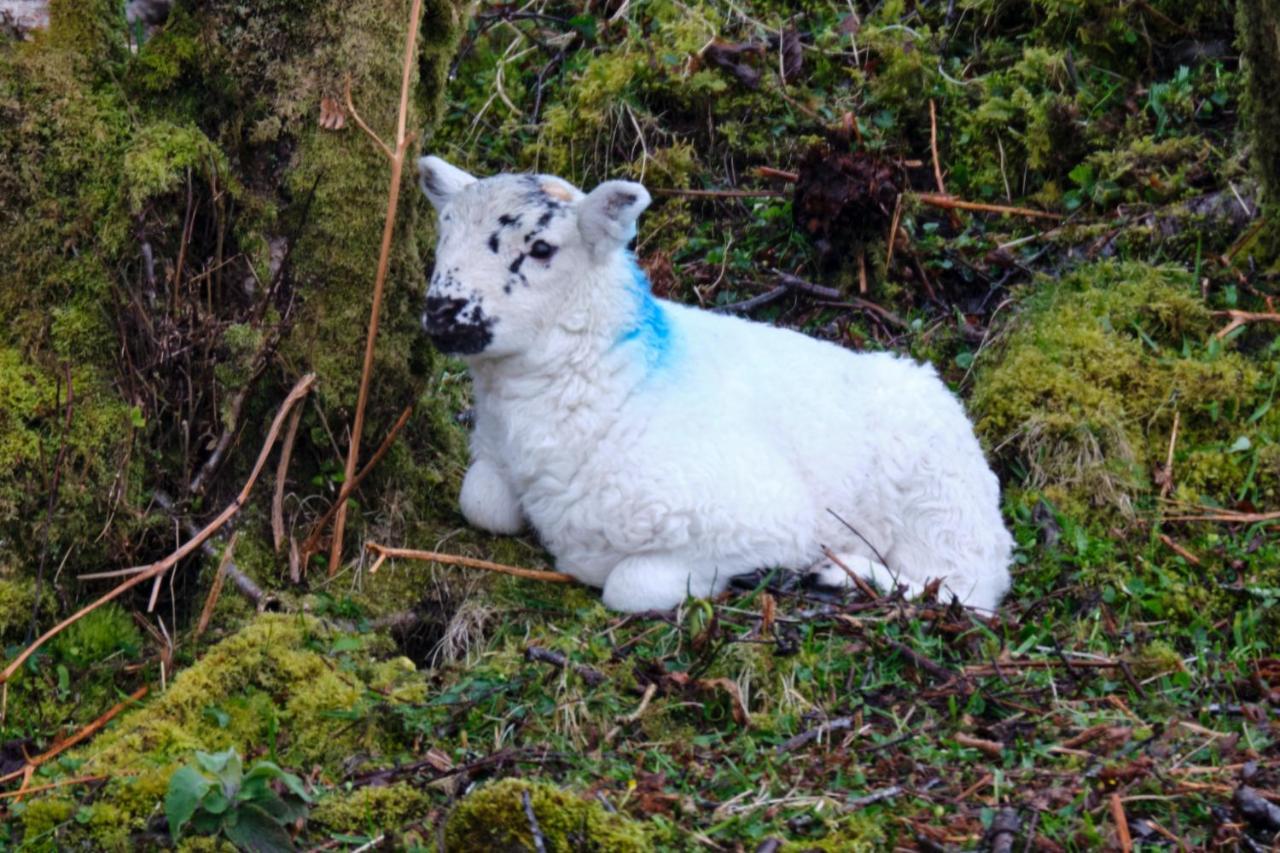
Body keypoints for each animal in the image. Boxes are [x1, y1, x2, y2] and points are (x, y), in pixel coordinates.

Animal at [414, 156, 1013, 612]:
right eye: (445, 231)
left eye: (541, 248)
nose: (442, 312)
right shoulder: (494, 456)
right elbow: (479, 500)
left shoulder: (763, 516)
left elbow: (627, 586)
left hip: (938, 505)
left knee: (965, 587)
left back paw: (844, 575)